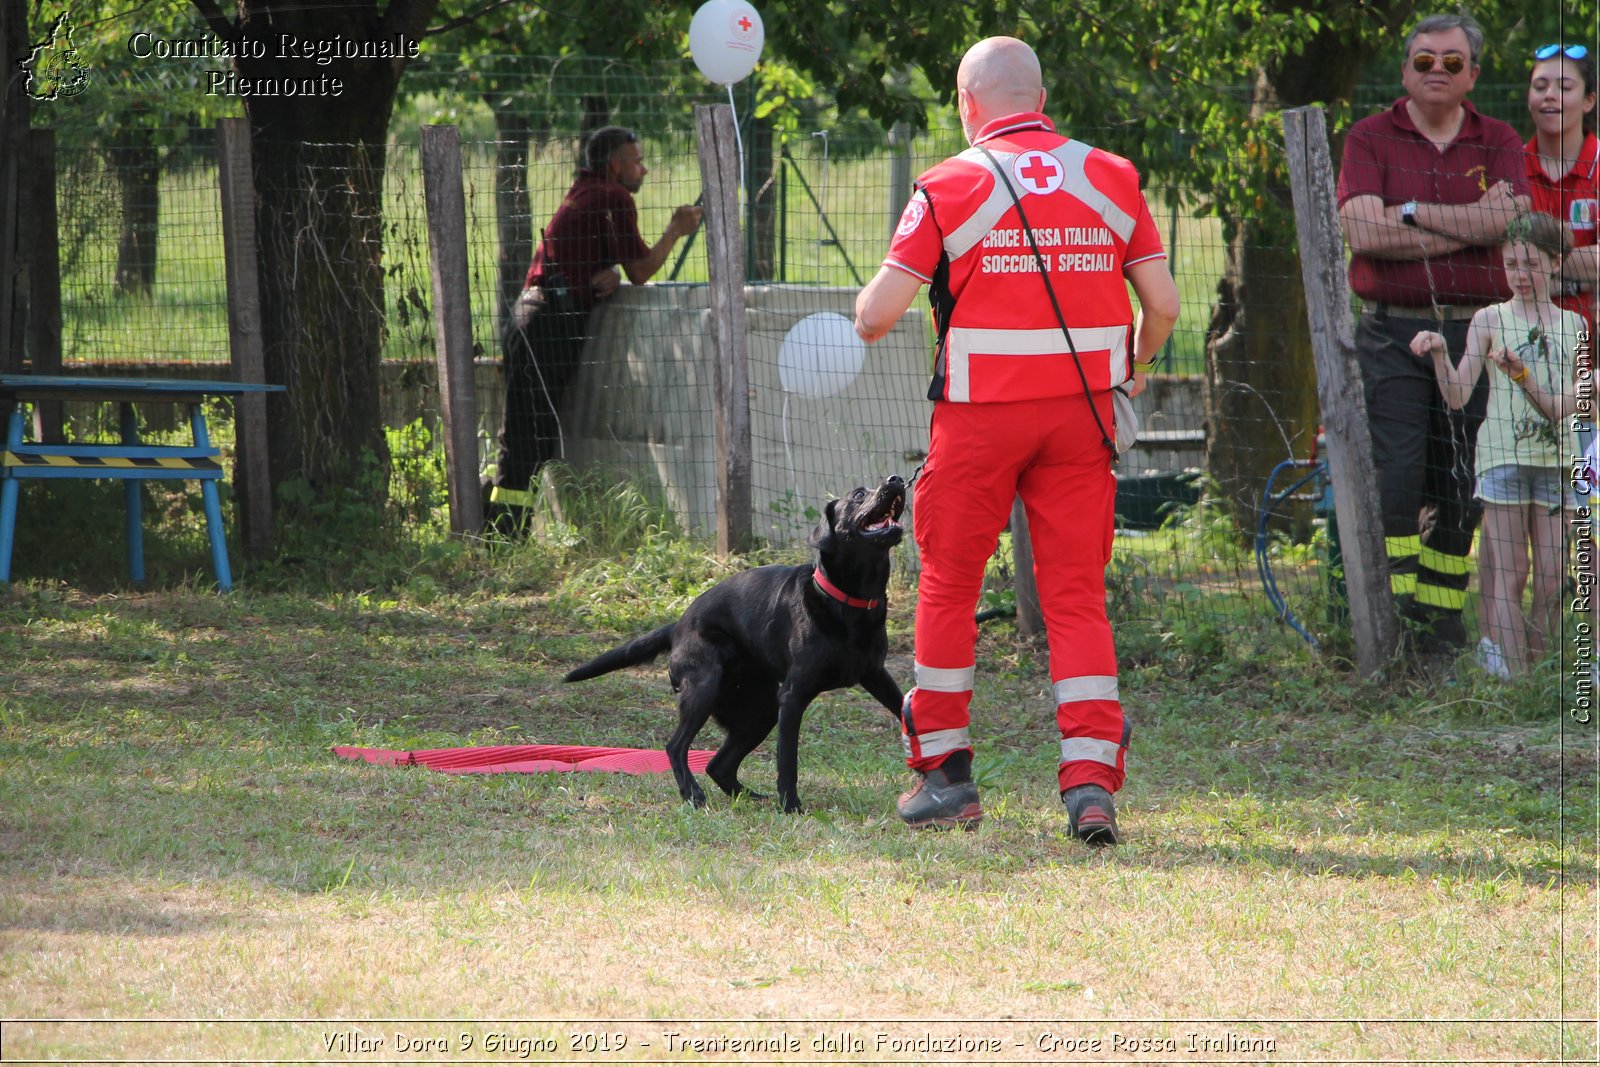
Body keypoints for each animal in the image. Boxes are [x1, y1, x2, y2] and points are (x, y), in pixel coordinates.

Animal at [566, 476, 908, 809]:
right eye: (859, 494)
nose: (896, 479)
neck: (849, 603)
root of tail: (678, 625)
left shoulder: (875, 674)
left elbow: (905, 708)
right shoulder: (792, 697)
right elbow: (787, 762)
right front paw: (791, 807)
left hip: (760, 710)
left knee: (717, 765)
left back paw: (748, 797)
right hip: (704, 689)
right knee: (676, 746)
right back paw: (693, 794)